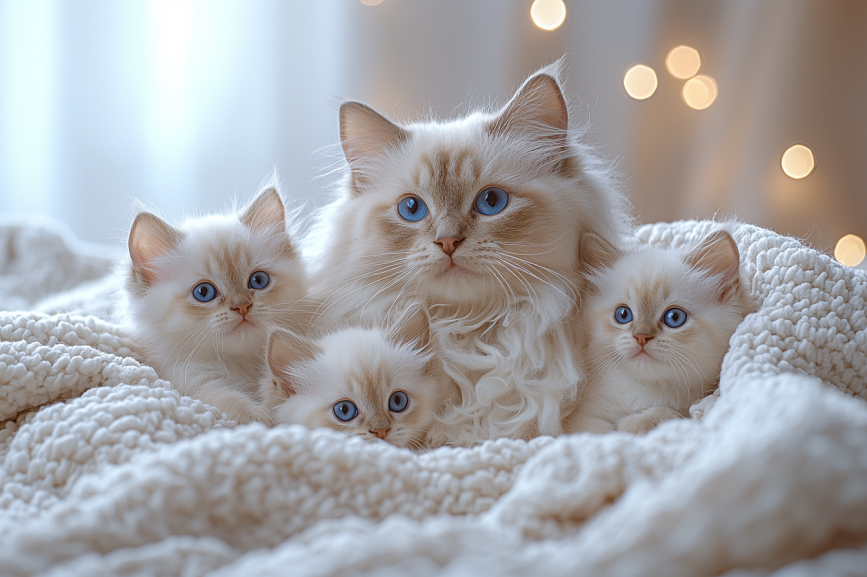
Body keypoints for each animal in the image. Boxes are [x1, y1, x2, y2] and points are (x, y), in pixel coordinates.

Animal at [120, 186, 306, 424]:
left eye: (258, 281)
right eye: (204, 292)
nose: (242, 306)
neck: (239, 365)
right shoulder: (189, 380)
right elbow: (227, 400)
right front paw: (259, 417)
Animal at [568, 228, 748, 432]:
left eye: (674, 317)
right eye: (623, 315)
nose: (641, 336)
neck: (645, 394)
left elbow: (664, 415)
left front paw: (633, 424)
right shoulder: (586, 419)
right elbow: (599, 431)